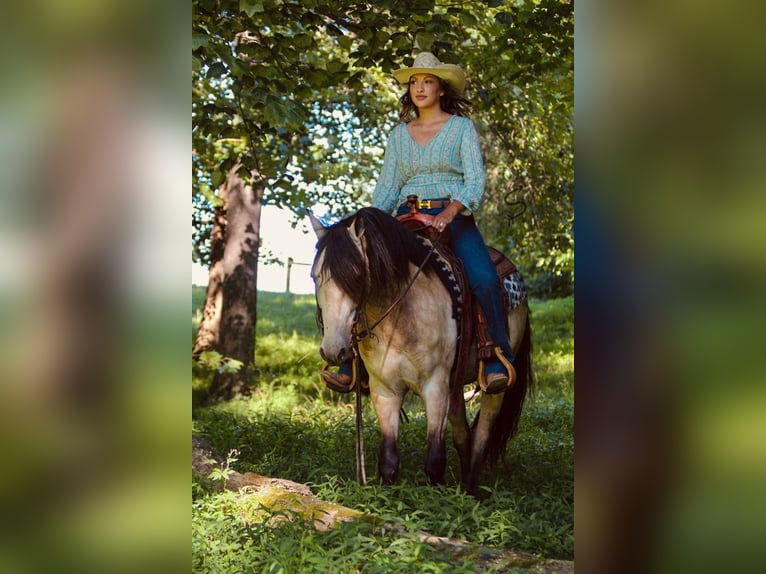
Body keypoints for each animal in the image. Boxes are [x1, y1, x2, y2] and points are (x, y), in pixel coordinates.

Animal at [308, 206, 532, 496]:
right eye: (314, 276)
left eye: (355, 274)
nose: (333, 349)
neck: (399, 314)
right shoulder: (385, 390)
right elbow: (389, 460)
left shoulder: (435, 387)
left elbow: (434, 460)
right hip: (454, 386)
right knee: (463, 434)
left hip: (493, 384)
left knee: (482, 433)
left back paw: (471, 490)